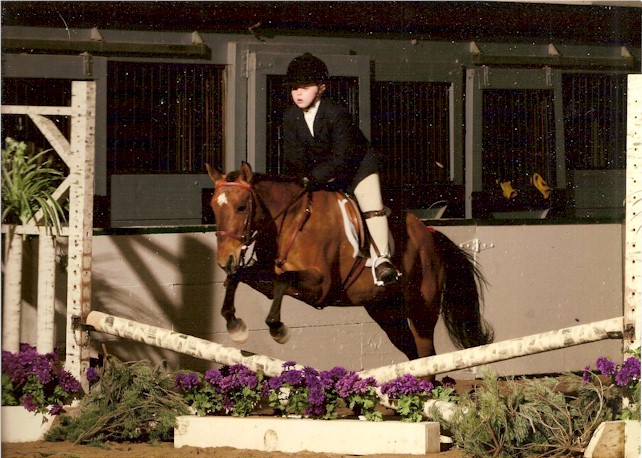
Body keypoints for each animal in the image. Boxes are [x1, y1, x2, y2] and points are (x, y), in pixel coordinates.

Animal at [205, 163, 490, 364]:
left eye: (242, 207)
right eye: (213, 207)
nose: (225, 260)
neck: (291, 221)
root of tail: (431, 235)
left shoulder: (320, 286)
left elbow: (284, 280)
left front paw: (278, 329)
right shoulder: (268, 278)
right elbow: (241, 277)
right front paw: (235, 325)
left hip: (423, 308)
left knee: (426, 354)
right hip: (385, 311)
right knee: (413, 355)